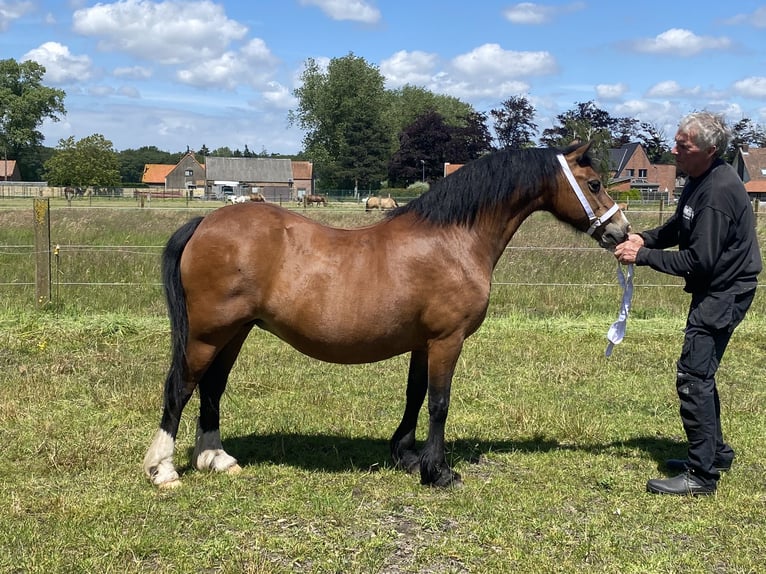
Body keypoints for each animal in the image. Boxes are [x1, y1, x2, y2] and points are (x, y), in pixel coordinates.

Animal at [144, 143, 632, 490]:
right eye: (593, 184)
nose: (621, 231)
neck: (453, 239)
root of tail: (205, 222)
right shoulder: (447, 340)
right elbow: (438, 403)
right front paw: (438, 472)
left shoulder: (423, 342)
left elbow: (415, 395)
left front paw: (407, 456)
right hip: (207, 334)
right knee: (179, 387)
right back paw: (163, 470)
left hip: (235, 332)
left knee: (212, 387)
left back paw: (216, 459)